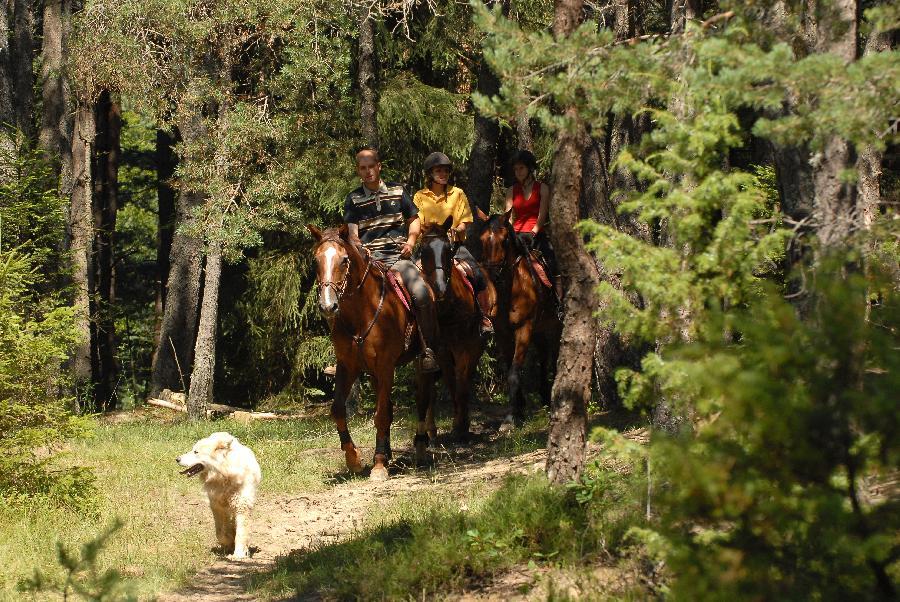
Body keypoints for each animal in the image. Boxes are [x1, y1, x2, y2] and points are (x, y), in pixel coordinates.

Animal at [176, 428, 260, 556]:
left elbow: (241, 532)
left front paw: (238, 554)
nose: (177, 459)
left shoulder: (241, 504)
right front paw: (228, 542)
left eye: (196, 452)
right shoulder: (216, 506)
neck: (224, 475)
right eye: (193, 450)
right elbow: (220, 532)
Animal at [308, 223, 434, 480]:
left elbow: (381, 414)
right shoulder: (348, 366)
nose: (328, 306)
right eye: (316, 261)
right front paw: (354, 459)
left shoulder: (386, 366)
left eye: (344, 260)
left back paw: (420, 447)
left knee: (423, 398)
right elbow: (338, 409)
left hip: (422, 360)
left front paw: (378, 465)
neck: (361, 312)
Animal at [420, 218, 486, 438]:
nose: (438, 288)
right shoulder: (442, 348)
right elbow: (450, 380)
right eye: (423, 251)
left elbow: (462, 379)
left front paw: (461, 424)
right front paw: (458, 422)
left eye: (448, 250)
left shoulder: (467, 345)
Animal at [474, 209, 560, 420]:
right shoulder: (503, 333)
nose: (493, 274)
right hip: (539, 328)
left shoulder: (524, 329)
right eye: (482, 239)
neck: (512, 289)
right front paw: (519, 406)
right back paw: (545, 396)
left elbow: (514, 372)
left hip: (555, 324)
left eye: (505, 240)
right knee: (544, 354)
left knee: (554, 354)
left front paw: (511, 417)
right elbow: (509, 370)